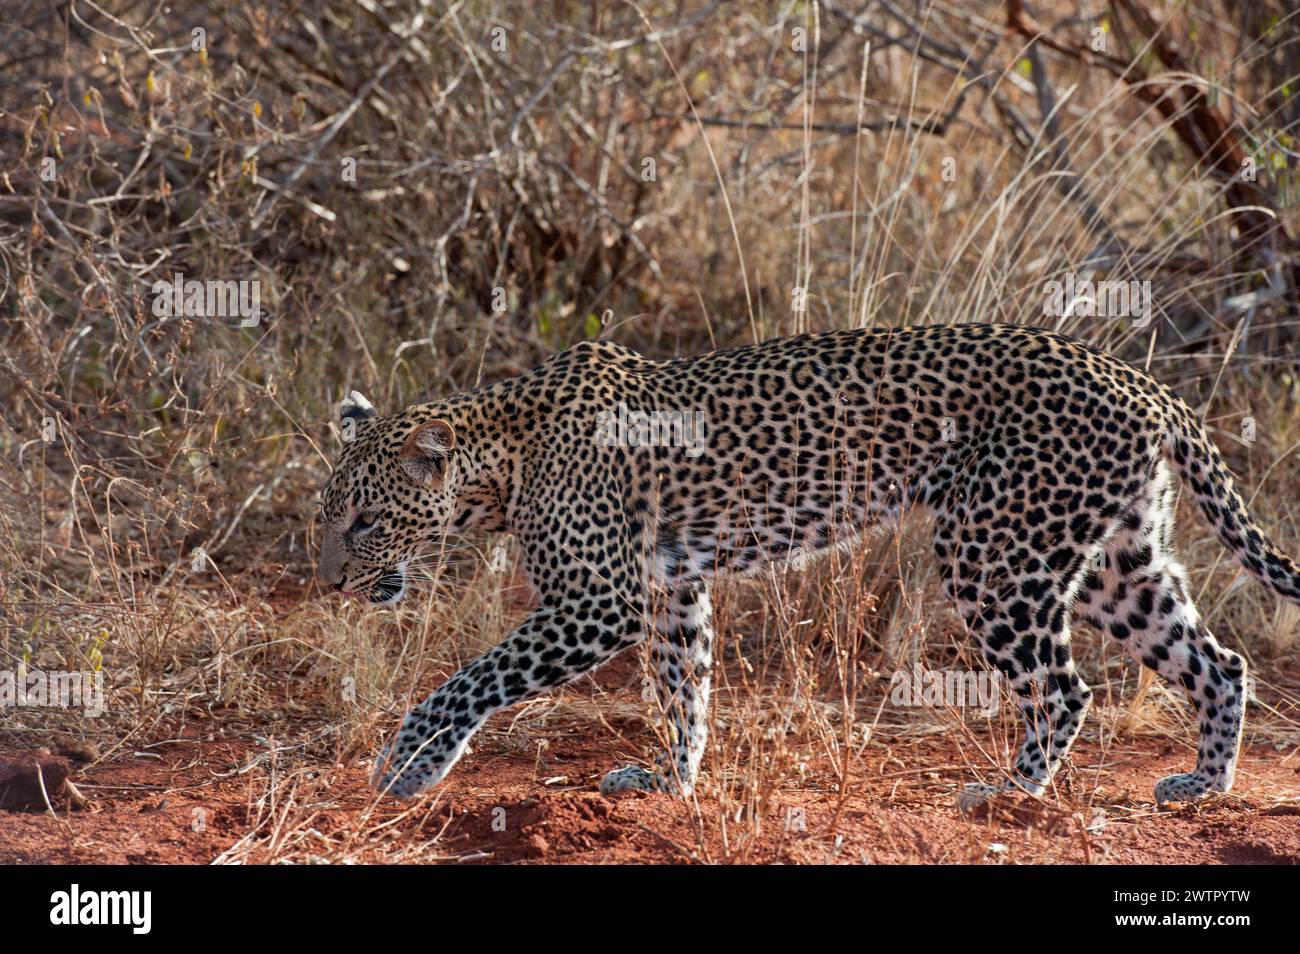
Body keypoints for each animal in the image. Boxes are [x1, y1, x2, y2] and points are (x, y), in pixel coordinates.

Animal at [314, 324, 1300, 811]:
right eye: (326, 518)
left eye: (365, 522)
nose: (328, 584)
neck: (503, 460)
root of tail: (1142, 379)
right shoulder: (672, 588)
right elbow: (686, 687)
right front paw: (671, 783)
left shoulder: (599, 601)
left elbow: (471, 679)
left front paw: (406, 765)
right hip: (1111, 561)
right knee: (1219, 662)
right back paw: (1202, 785)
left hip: (993, 553)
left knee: (1063, 688)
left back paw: (1007, 795)